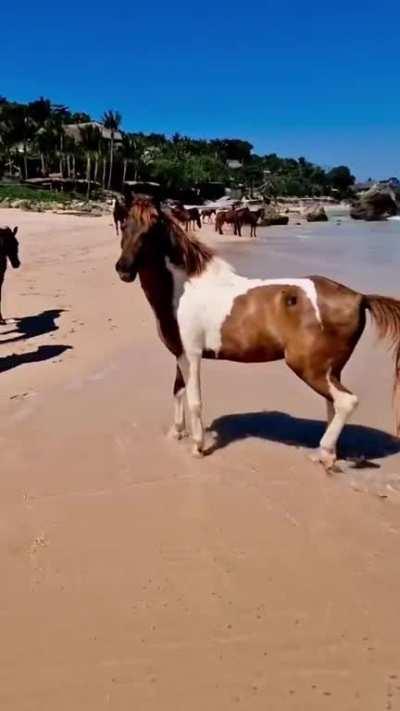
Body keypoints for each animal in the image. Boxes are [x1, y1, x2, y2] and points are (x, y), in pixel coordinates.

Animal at [115, 195, 400, 472]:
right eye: (125, 224)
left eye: (151, 230)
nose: (123, 269)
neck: (184, 290)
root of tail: (359, 297)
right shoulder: (180, 354)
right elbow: (177, 391)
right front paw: (176, 433)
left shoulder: (192, 355)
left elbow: (194, 400)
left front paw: (198, 446)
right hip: (329, 370)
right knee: (333, 403)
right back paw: (328, 455)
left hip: (309, 367)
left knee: (345, 402)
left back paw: (322, 453)